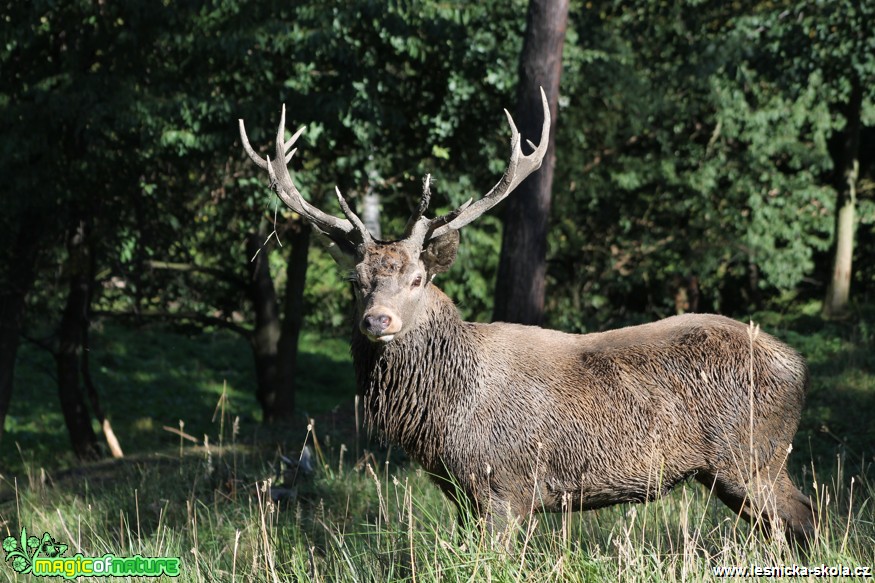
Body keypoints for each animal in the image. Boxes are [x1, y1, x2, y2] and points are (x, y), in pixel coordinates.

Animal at [238, 89, 816, 544]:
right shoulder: (462, 492)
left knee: (805, 516)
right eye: (356, 281)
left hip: (753, 455)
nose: (378, 321)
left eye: (418, 279)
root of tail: (796, 362)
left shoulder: (506, 487)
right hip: (741, 466)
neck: (441, 416)